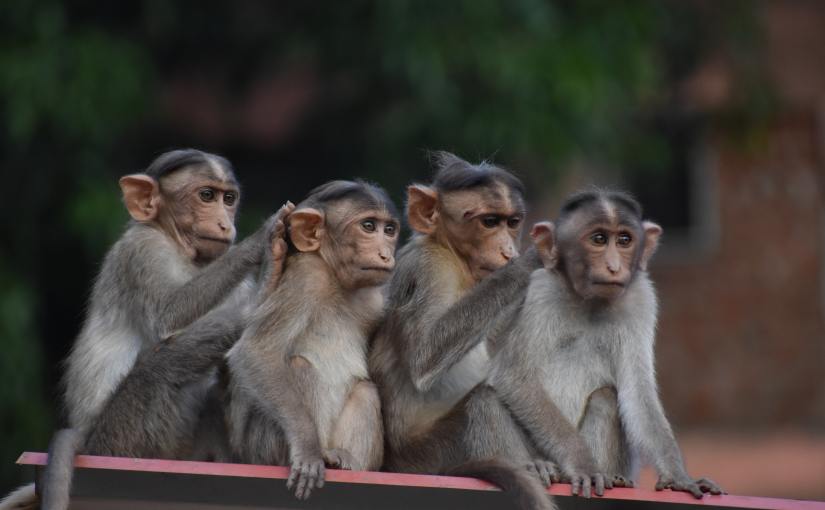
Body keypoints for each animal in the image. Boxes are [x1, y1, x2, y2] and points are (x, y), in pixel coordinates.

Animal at [14, 149, 293, 510]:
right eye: (207, 195)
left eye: (228, 198)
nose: (225, 223)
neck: (179, 246)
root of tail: (88, 439)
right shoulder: (143, 249)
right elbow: (168, 316)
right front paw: (266, 250)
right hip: (123, 435)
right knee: (163, 364)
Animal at [225, 180, 399, 500]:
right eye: (368, 226)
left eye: (389, 230)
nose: (385, 254)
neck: (334, 278)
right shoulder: (306, 279)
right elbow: (255, 352)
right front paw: (307, 450)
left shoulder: (376, 302)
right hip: (268, 447)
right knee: (299, 365)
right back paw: (321, 455)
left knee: (365, 390)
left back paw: (346, 462)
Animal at [368, 152, 605, 510]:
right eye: (490, 222)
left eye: (512, 222)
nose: (507, 250)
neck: (460, 262)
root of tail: (395, 464)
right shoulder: (429, 267)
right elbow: (425, 358)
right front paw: (531, 260)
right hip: (434, 457)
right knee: (484, 397)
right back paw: (528, 464)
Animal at [488, 189, 724, 499]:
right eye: (598, 239)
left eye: (624, 240)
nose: (613, 267)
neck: (588, 301)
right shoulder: (540, 291)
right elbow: (515, 377)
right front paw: (583, 464)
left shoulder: (640, 298)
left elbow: (637, 392)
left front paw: (679, 476)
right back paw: (545, 467)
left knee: (606, 398)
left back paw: (615, 478)